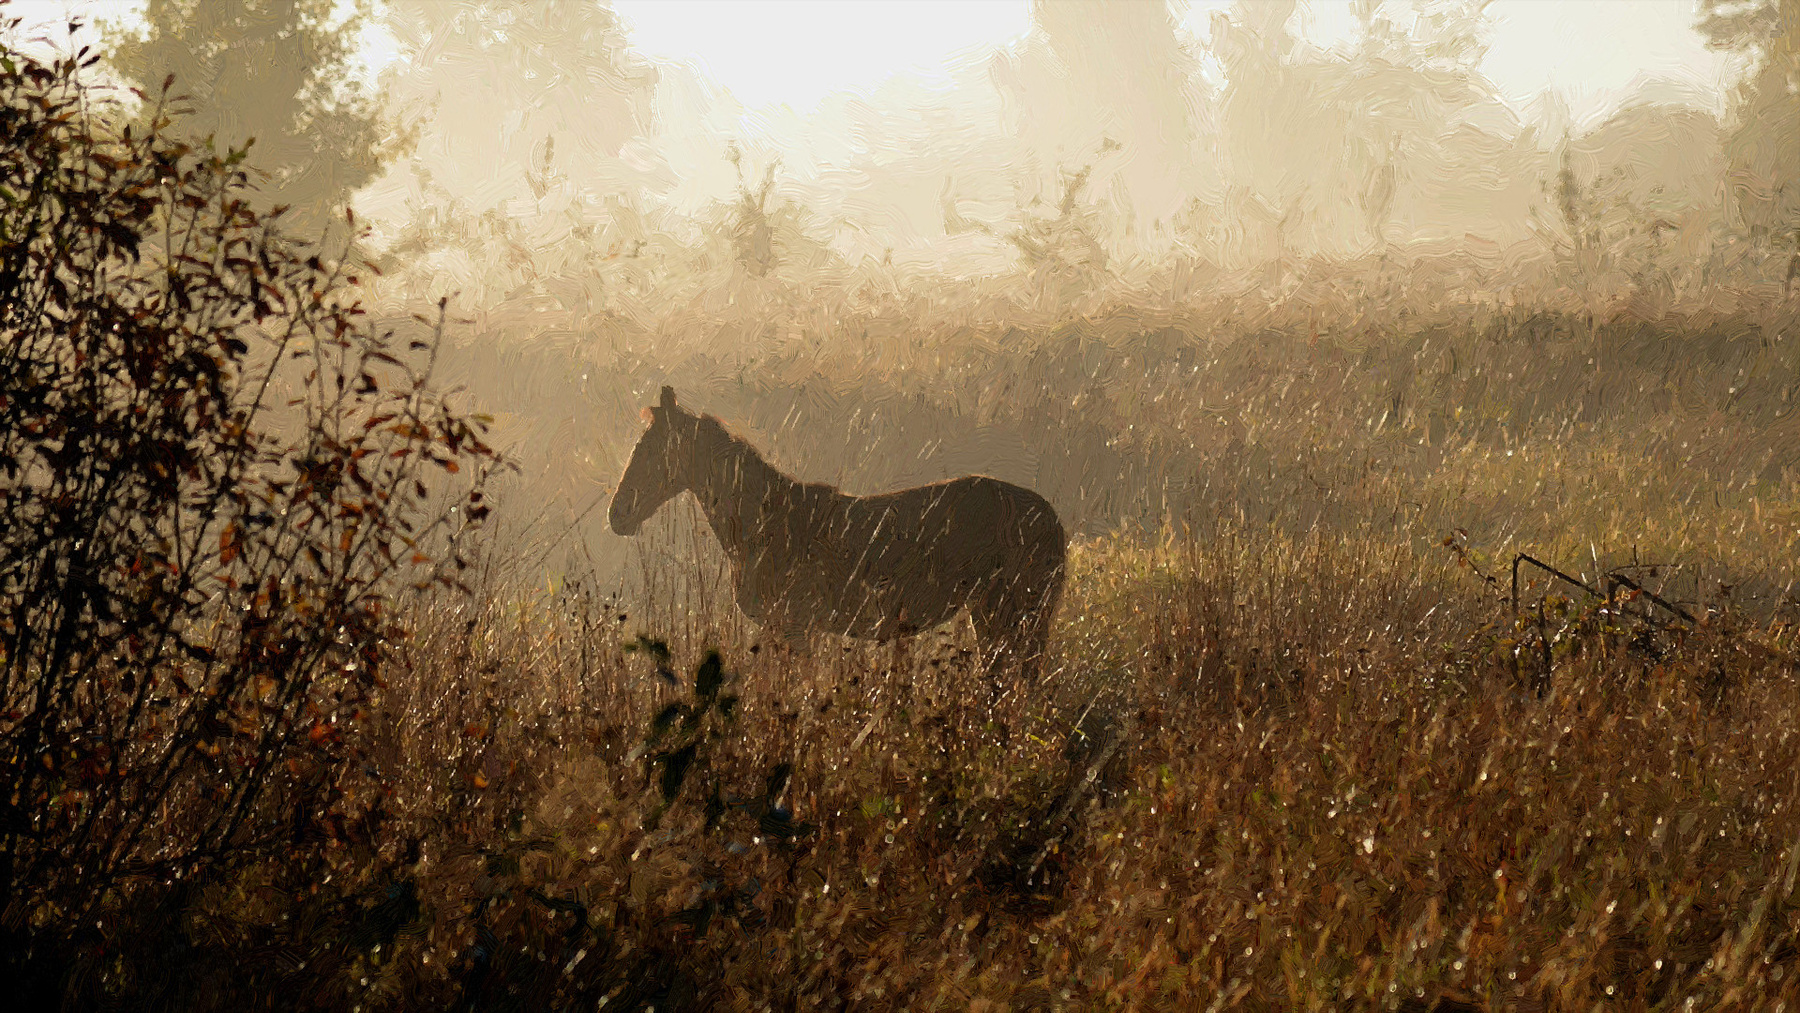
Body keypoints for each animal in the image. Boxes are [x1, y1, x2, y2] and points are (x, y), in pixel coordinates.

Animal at [609, 387, 1066, 694]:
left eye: (650, 451)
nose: (617, 515)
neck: (762, 523)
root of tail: (1052, 517)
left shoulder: (796, 629)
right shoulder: (783, 631)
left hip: (1012, 616)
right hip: (998, 617)